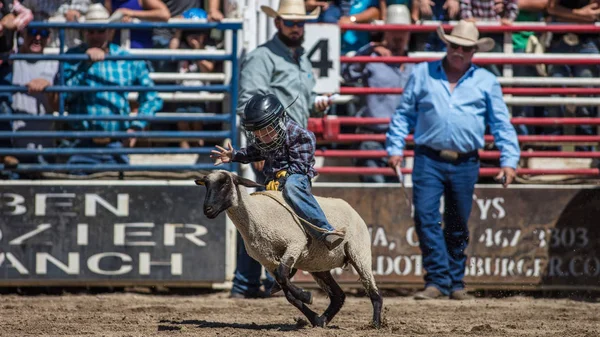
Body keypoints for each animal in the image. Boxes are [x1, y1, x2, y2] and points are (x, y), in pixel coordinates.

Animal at [197, 169, 384, 326]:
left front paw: (306, 295)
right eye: (206, 185)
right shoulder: (267, 260)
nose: (208, 210)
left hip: (359, 253)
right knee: (338, 296)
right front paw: (312, 314)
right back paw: (322, 320)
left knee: (374, 293)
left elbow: (283, 277)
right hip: (319, 266)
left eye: (225, 184)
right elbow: (286, 288)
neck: (257, 214)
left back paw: (375, 324)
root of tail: (351, 209)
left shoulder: (295, 243)